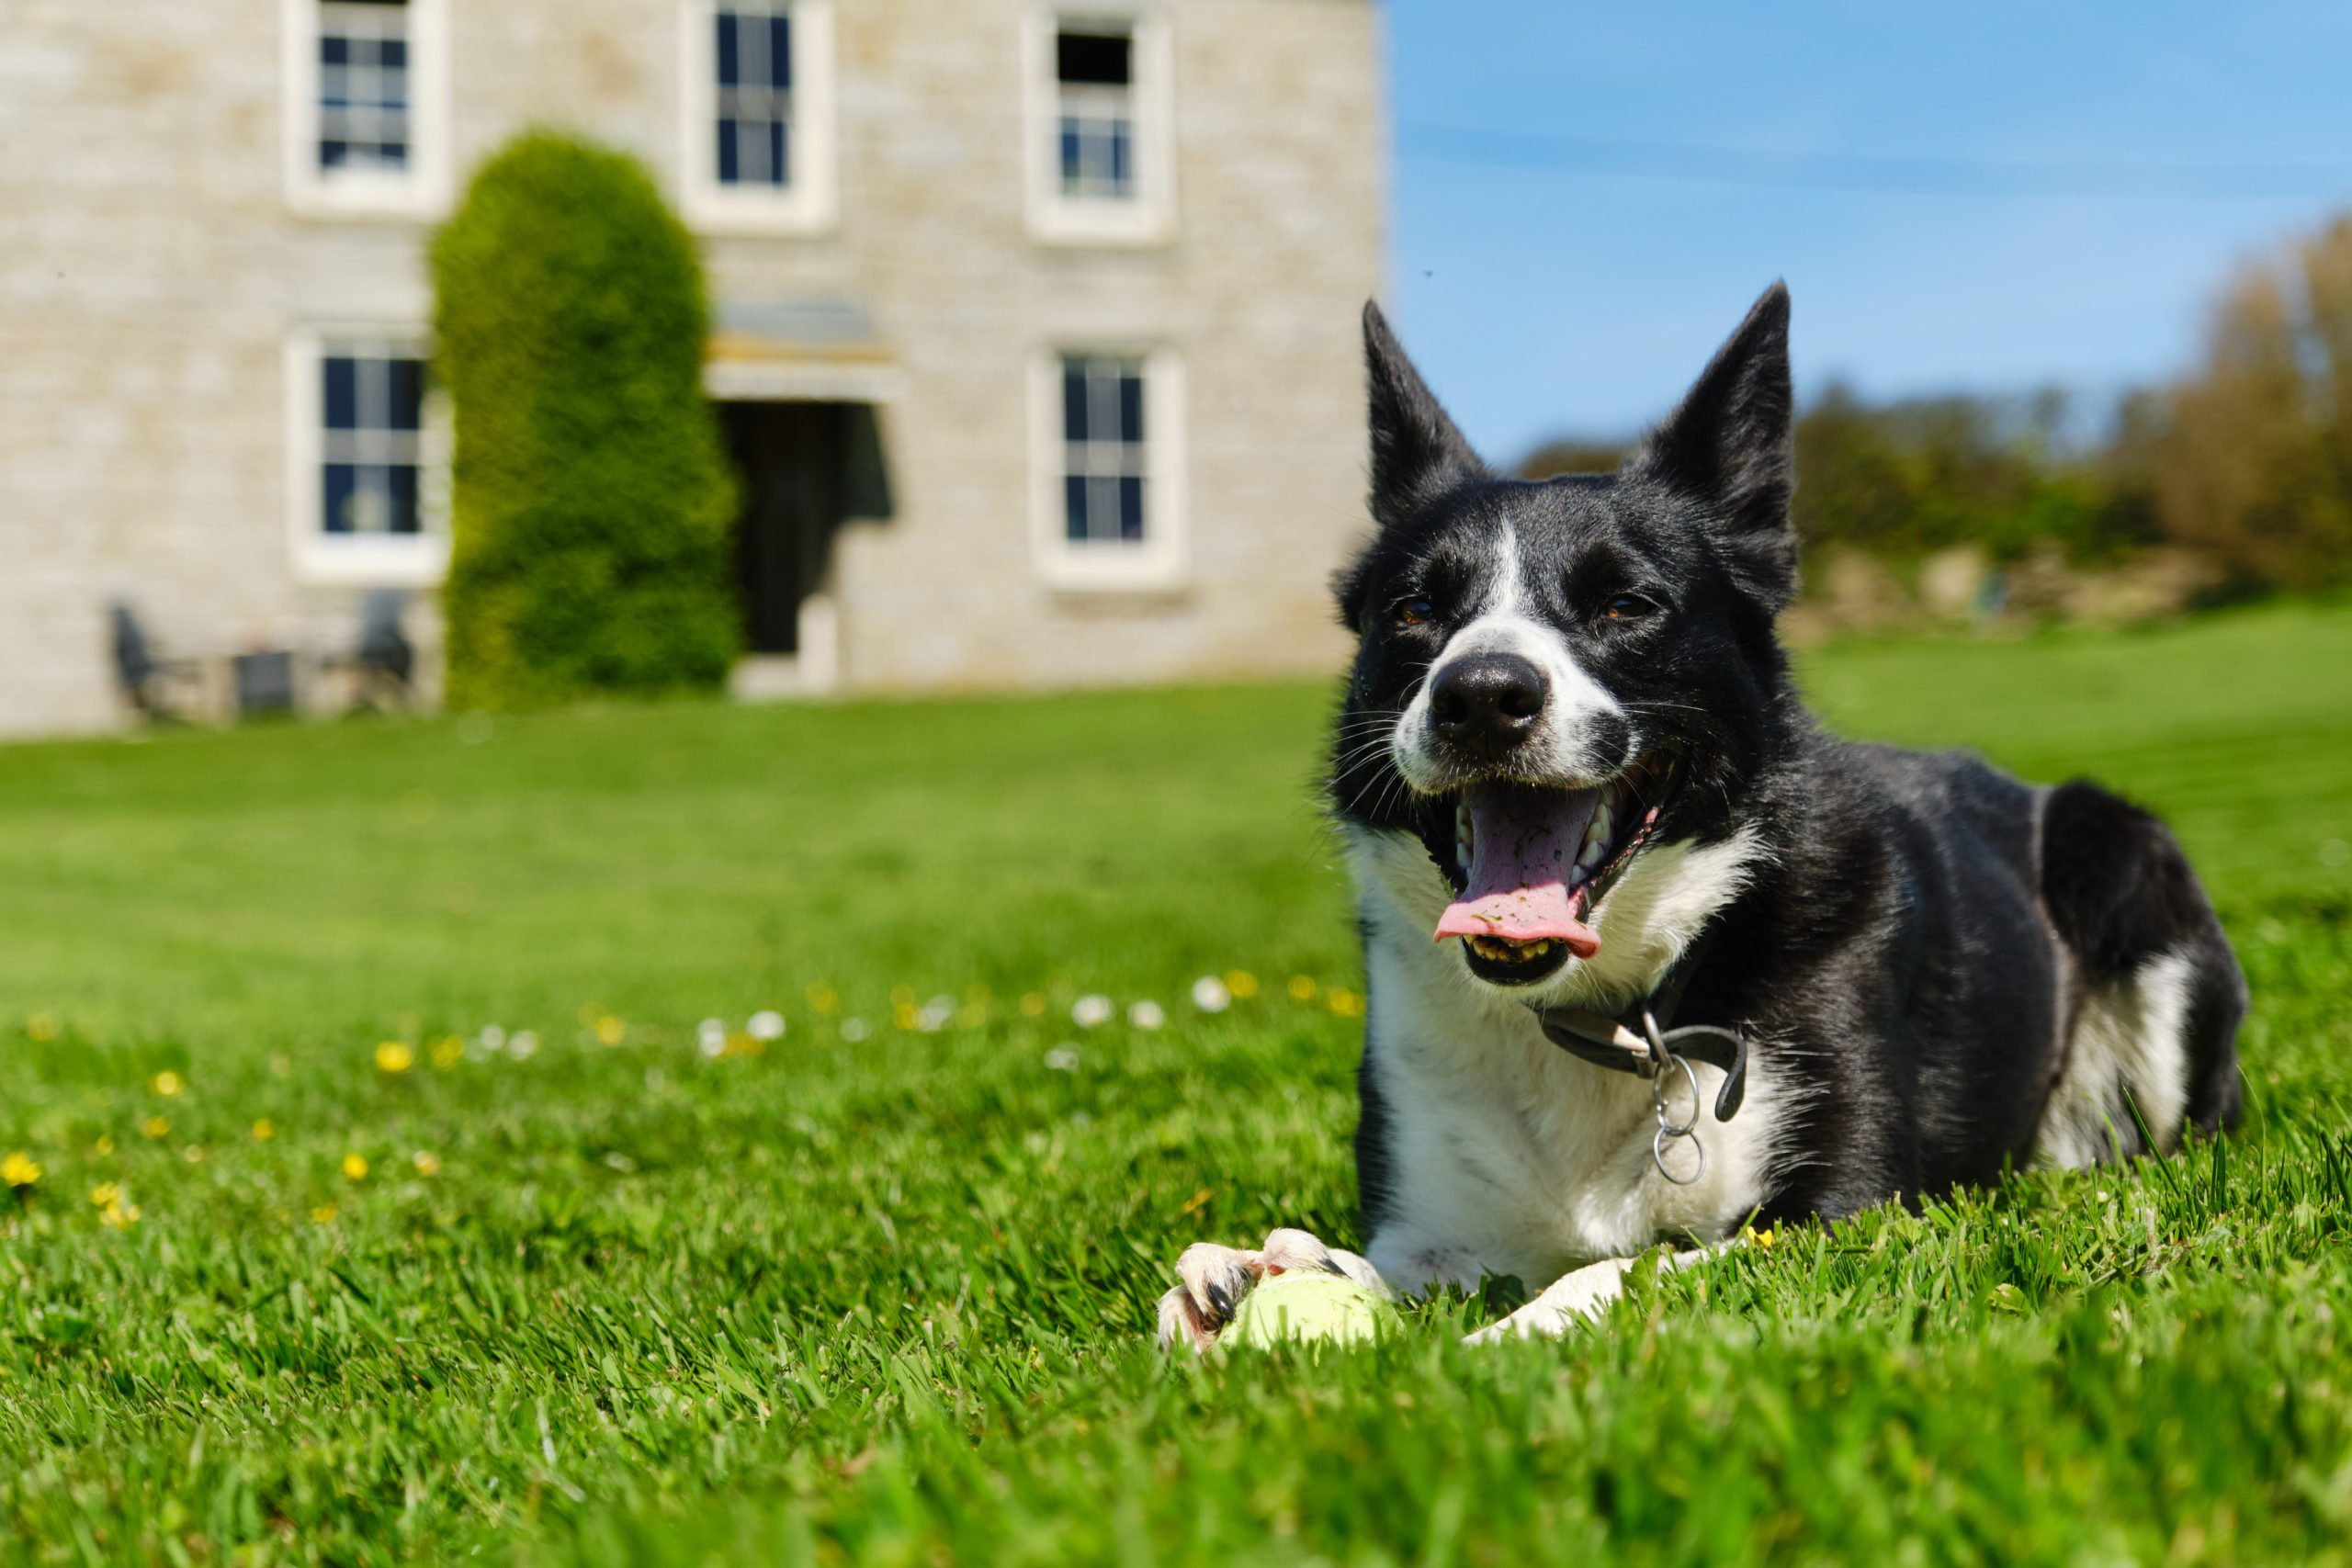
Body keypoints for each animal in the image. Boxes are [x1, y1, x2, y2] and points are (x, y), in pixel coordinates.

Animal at [1157, 288, 2239, 1344]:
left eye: (1625, 605)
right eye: (1414, 613)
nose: (1481, 694)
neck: (1610, 1012)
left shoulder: (1846, 1220)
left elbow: (1618, 1272)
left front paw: (1495, 1343)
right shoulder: (1433, 1229)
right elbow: (1387, 1266)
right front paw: (1252, 1274)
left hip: (2119, 852)